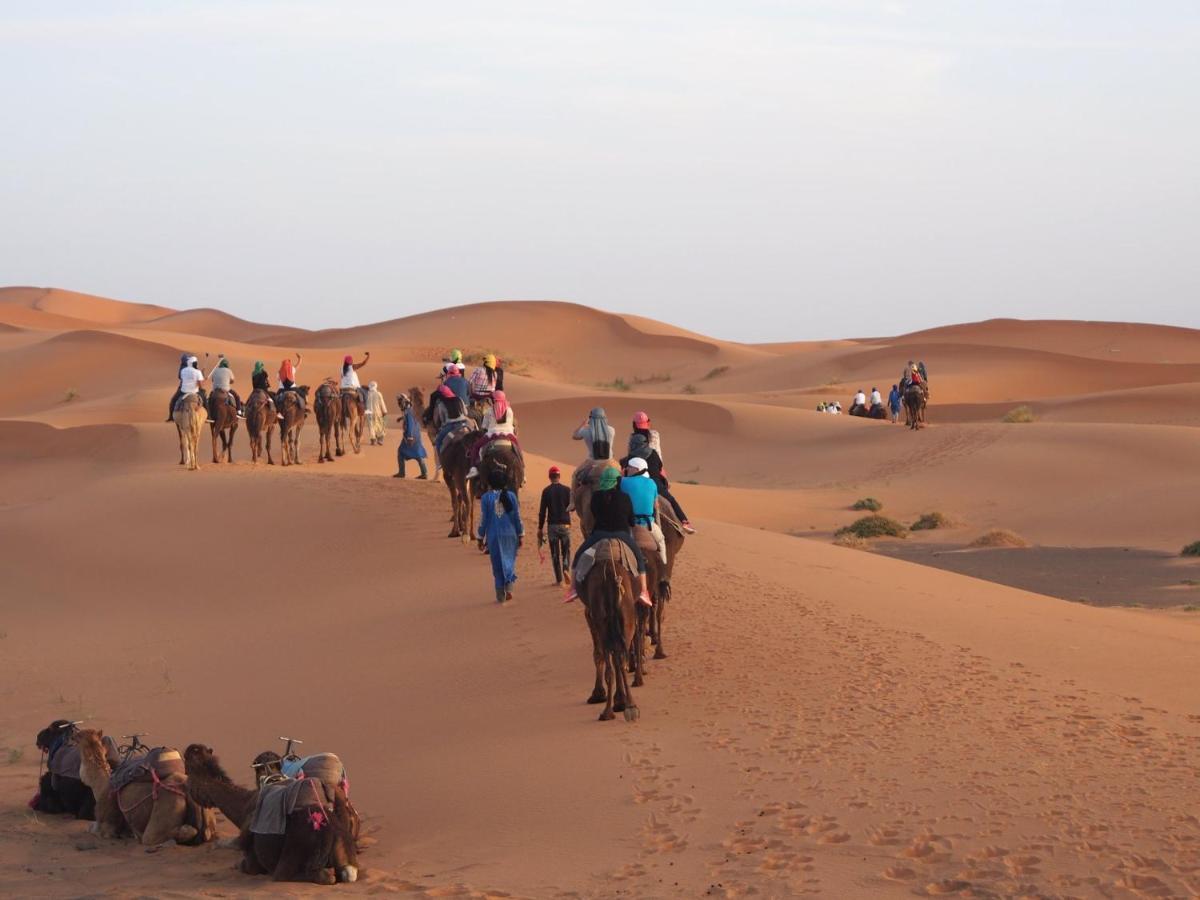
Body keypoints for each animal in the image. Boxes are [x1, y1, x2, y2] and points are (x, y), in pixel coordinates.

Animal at [74, 729, 216, 849]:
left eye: (78, 737)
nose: (72, 735)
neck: (101, 785)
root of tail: (186, 790)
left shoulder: (105, 826)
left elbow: (92, 828)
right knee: (207, 832)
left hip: (167, 806)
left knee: (152, 837)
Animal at [177, 748, 355, 888]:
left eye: (188, 773)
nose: (185, 786)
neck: (244, 807)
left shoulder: (251, 861)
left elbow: (241, 864)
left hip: (293, 854)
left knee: (304, 875)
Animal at [578, 542, 643, 724]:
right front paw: (619, 700)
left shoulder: (590, 616)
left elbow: (598, 654)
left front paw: (598, 694)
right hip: (624, 619)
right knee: (621, 655)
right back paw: (627, 705)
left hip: (604, 623)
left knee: (613, 659)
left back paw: (611, 710)